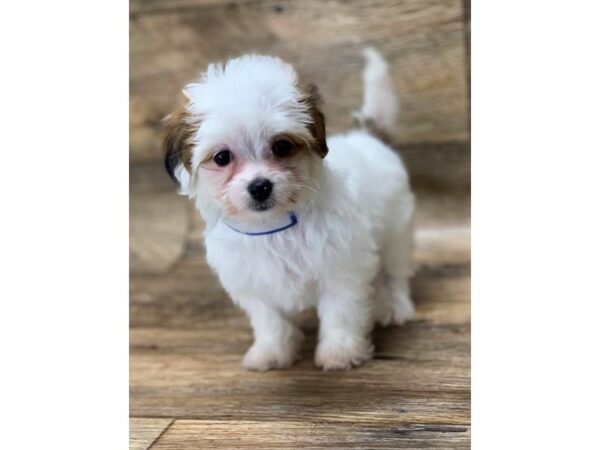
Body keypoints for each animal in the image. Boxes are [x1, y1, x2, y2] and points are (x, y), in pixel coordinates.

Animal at [164, 48, 415, 371]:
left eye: (282, 146)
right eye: (222, 157)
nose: (260, 186)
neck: (273, 226)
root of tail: (367, 137)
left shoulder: (340, 269)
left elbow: (340, 313)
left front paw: (339, 352)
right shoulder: (251, 281)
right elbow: (269, 320)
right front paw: (271, 351)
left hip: (397, 230)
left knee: (393, 272)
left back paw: (394, 306)